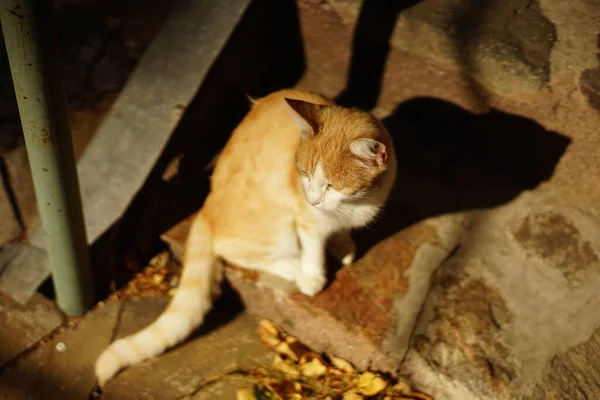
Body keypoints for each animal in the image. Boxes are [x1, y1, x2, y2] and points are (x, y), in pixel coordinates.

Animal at [95, 89, 398, 386]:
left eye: (333, 186)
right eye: (304, 174)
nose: (312, 200)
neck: (357, 203)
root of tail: (207, 206)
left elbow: (340, 232)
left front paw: (343, 246)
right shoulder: (305, 218)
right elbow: (313, 248)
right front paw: (314, 275)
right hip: (276, 225)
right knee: (238, 253)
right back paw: (294, 268)